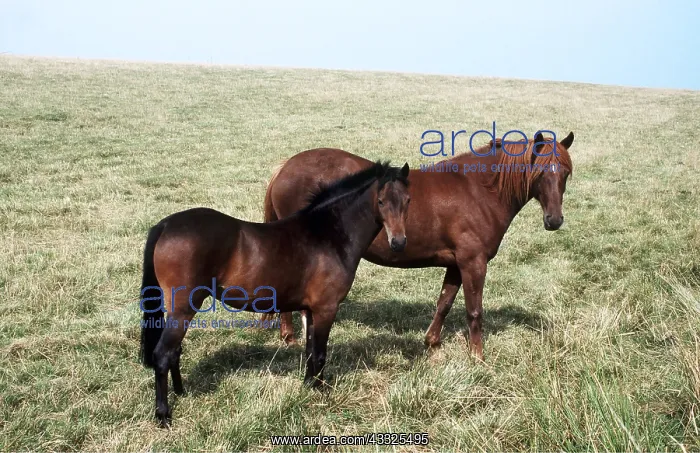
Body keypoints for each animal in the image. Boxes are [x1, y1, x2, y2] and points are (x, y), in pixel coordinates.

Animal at [139, 161, 410, 426]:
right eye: (381, 201)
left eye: (407, 200)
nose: (398, 243)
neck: (327, 235)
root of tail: (165, 225)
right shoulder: (326, 308)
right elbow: (320, 353)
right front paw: (322, 392)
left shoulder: (311, 310)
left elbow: (310, 351)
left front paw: (309, 386)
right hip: (184, 308)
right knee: (163, 354)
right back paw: (163, 415)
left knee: (174, 352)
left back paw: (181, 391)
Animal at [264, 131, 574, 359]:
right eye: (539, 173)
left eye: (565, 174)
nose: (554, 220)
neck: (479, 190)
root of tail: (286, 167)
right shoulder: (473, 263)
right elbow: (474, 311)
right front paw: (477, 356)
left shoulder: (456, 263)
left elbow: (444, 302)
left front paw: (432, 342)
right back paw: (292, 336)